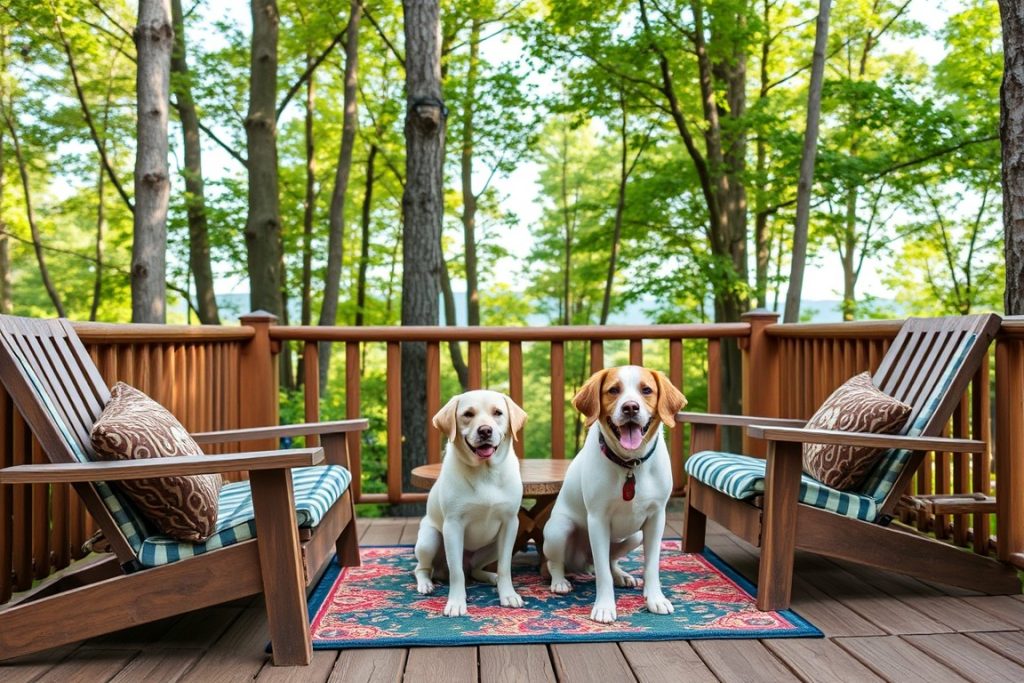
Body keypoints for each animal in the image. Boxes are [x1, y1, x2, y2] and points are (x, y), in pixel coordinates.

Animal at [413, 389, 528, 618]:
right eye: (468, 414)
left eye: (497, 412)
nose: (485, 431)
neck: (486, 473)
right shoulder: (453, 526)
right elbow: (456, 572)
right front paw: (456, 603)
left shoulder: (510, 523)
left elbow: (505, 567)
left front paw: (508, 594)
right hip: (429, 539)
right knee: (423, 569)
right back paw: (425, 584)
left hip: (493, 545)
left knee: (474, 569)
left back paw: (491, 577)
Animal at [544, 366, 688, 622]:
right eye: (613, 390)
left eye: (646, 390)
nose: (630, 407)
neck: (630, 464)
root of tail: (583, 562)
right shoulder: (597, 519)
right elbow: (603, 574)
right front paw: (604, 607)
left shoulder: (656, 518)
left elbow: (651, 565)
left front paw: (655, 598)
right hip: (558, 530)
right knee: (557, 563)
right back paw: (560, 581)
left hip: (635, 536)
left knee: (611, 560)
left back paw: (622, 575)